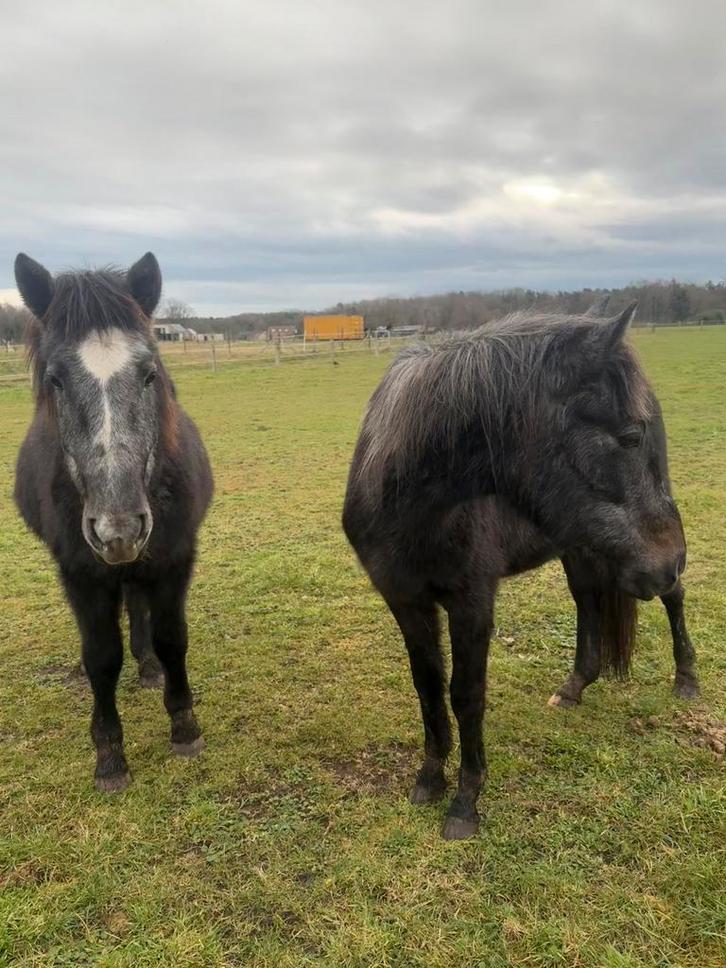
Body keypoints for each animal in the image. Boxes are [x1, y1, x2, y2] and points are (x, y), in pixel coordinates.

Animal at [14, 252, 214, 793]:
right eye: (56, 380)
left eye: (149, 374)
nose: (118, 529)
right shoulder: (81, 573)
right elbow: (101, 657)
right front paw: (109, 756)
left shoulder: (174, 558)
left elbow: (172, 638)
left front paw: (184, 727)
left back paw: (148, 668)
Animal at [343, 305, 697, 840]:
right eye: (629, 438)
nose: (670, 559)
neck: (413, 506)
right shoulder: (405, 600)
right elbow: (428, 685)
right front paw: (429, 778)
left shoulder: (472, 603)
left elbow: (466, 694)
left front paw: (465, 801)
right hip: (585, 546)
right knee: (589, 600)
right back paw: (574, 687)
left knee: (672, 598)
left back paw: (686, 678)